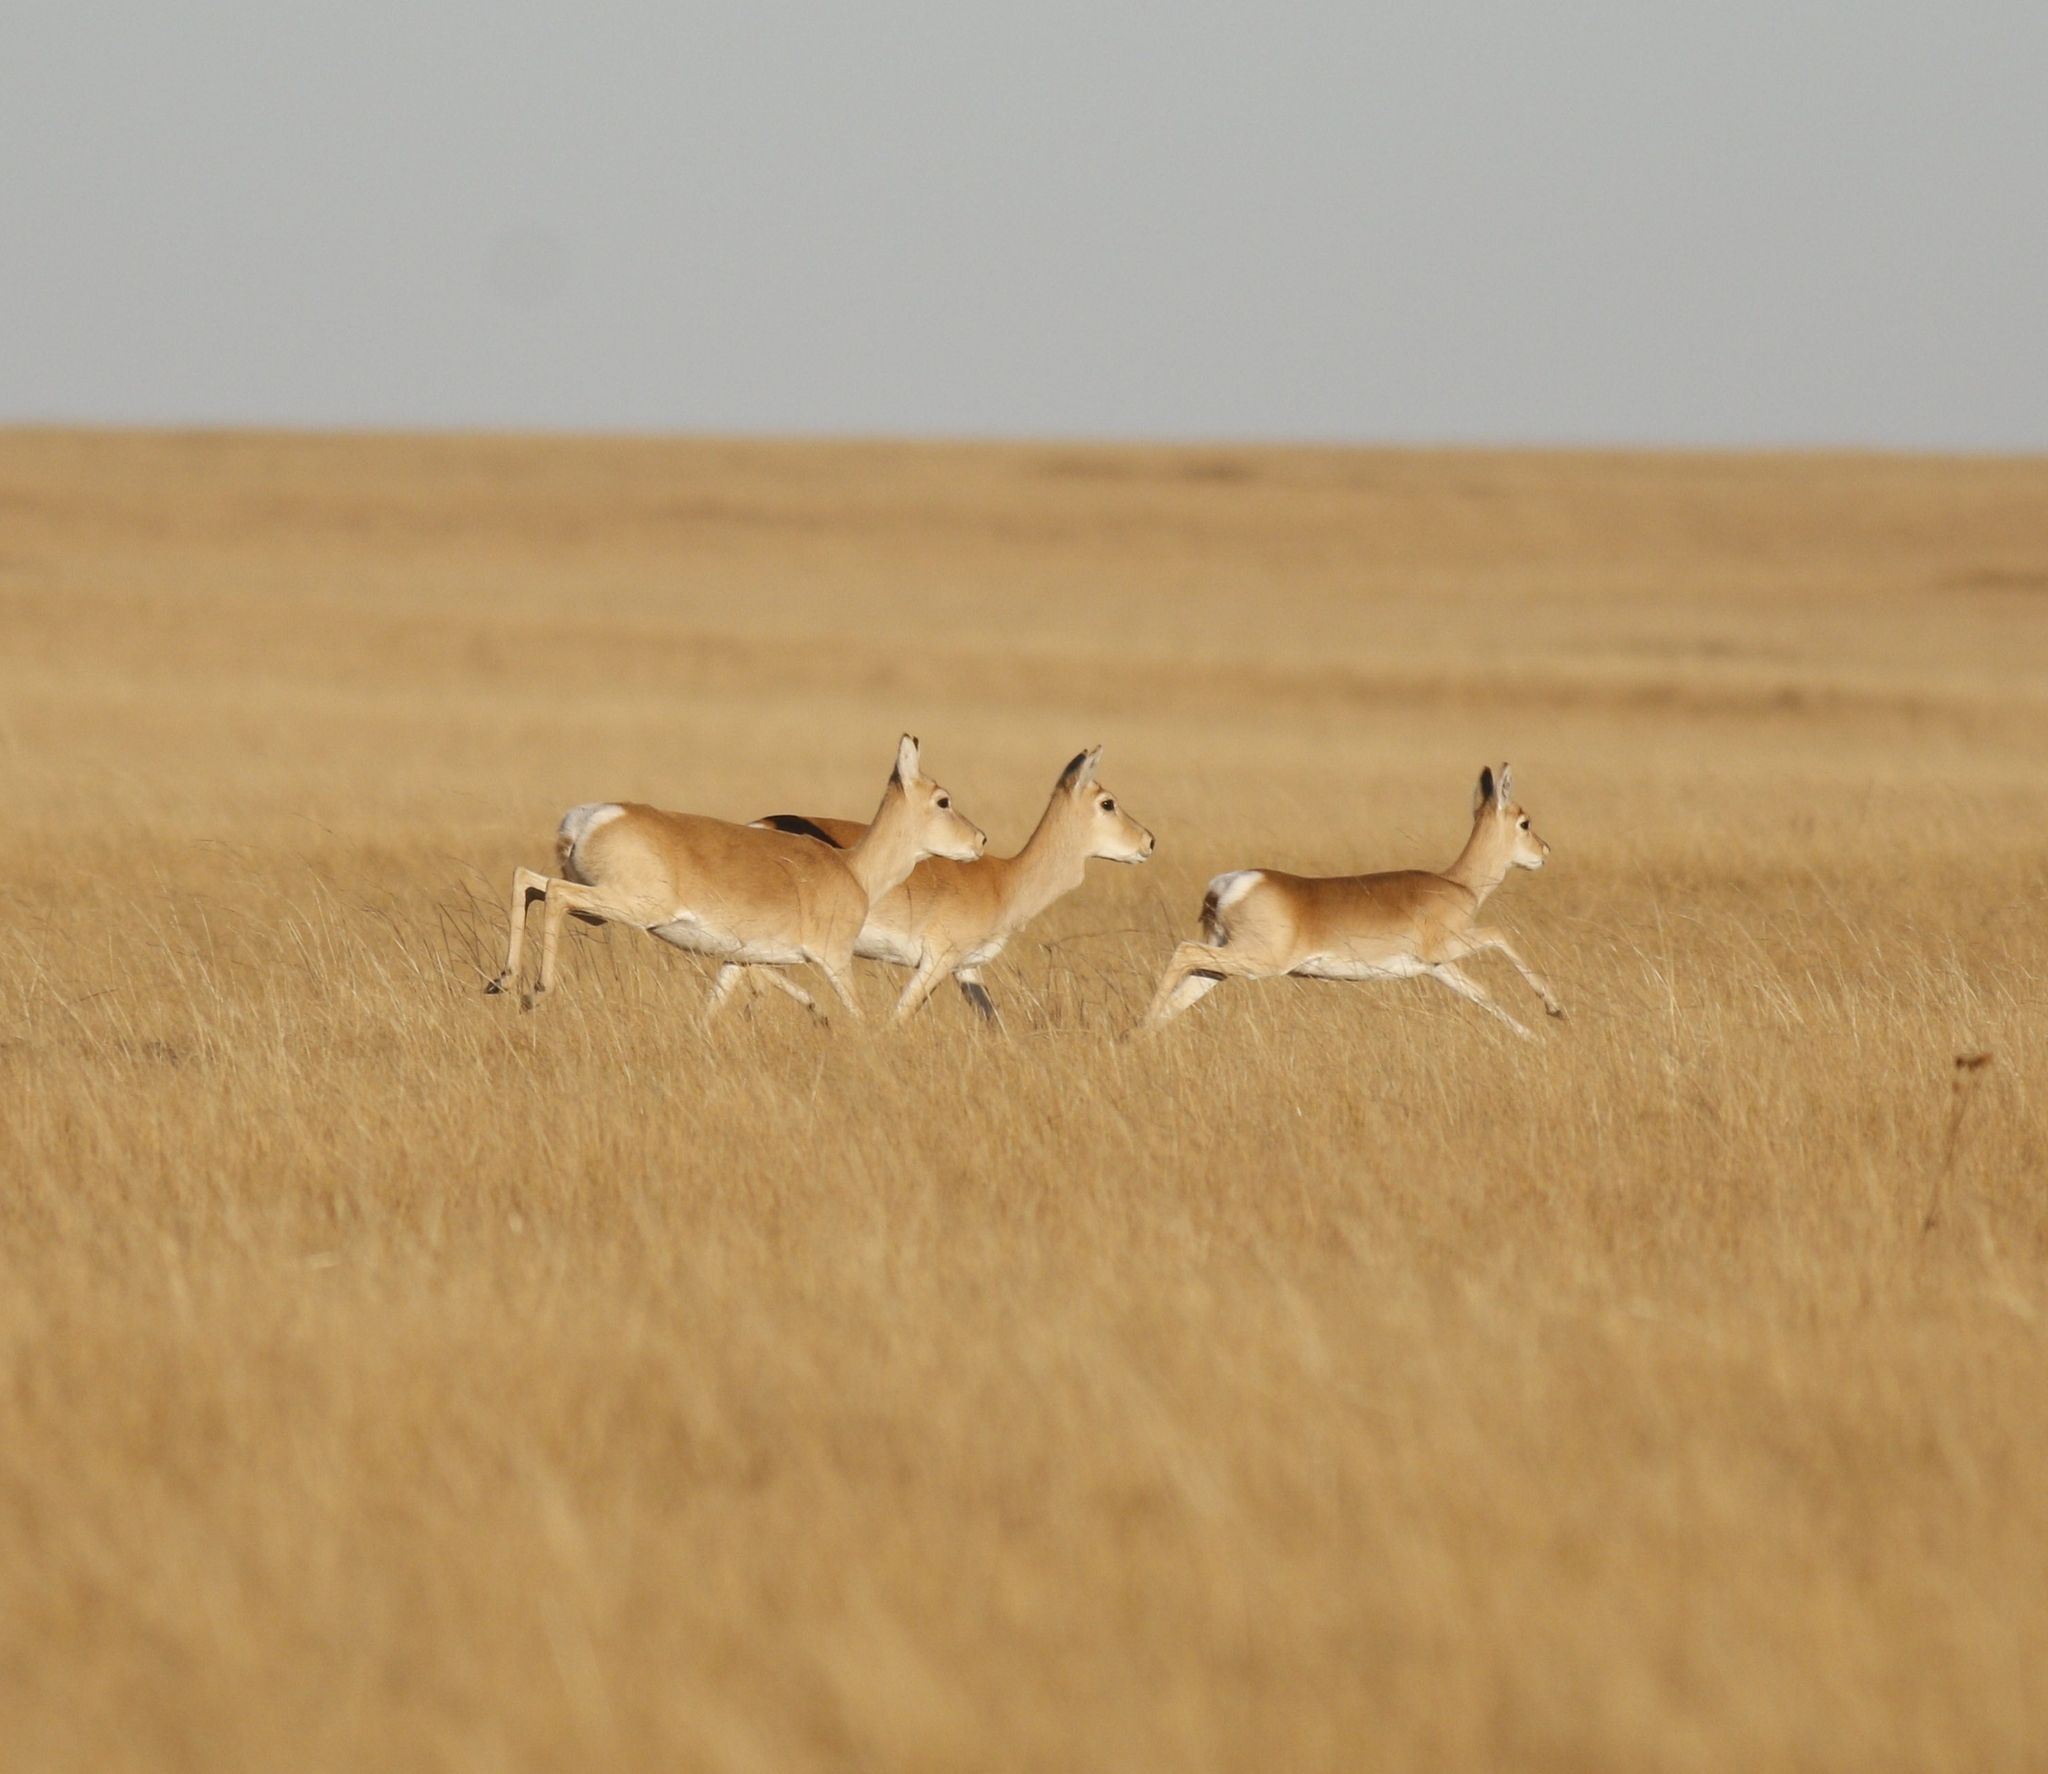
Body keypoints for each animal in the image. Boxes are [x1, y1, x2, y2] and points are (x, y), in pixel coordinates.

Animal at [485, 734, 985, 1023]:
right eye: (942, 800)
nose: (980, 838)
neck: (853, 870)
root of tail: (594, 817)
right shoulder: (834, 960)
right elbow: (859, 1017)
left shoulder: (737, 960)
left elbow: (714, 1010)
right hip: (626, 908)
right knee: (553, 891)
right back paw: (536, 992)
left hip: (598, 910)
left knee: (528, 880)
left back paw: (502, 981)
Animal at [751, 746, 1155, 1025]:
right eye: (1108, 803)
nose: (1149, 841)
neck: (1004, 881)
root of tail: (759, 825)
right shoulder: (935, 961)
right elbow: (898, 1019)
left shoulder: (966, 969)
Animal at [1140, 763, 1564, 1037]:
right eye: (1525, 822)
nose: (1545, 851)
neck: (1458, 884)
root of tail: (1228, 884)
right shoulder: (1449, 946)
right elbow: (1502, 934)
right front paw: (1555, 1008)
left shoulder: (1438, 967)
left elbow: (1482, 994)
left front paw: (1536, 1036)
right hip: (1257, 961)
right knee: (1183, 952)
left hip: (1223, 964)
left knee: (1184, 985)